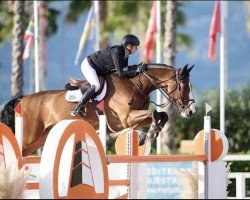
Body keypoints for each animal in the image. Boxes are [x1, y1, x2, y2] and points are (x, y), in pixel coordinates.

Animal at [0, 63, 195, 157]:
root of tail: (23, 99)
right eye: (184, 87)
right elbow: (154, 114)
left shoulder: (133, 118)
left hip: (39, 139)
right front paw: (149, 134)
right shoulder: (125, 119)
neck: (135, 84)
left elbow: (161, 115)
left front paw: (148, 134)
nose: (191, 112)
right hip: (29, 135)